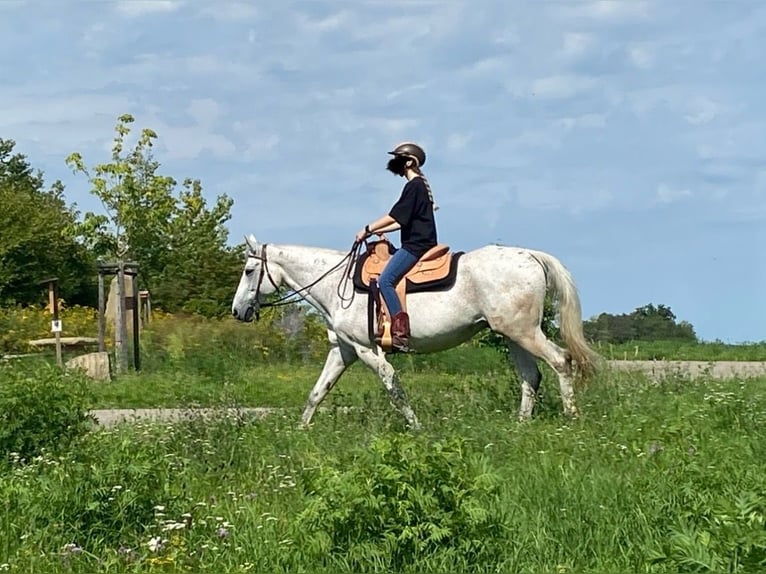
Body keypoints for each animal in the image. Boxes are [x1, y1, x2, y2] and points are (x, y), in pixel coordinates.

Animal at [231, 234, 604, 432]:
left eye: (249, 270)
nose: (237, 311)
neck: (338, 285)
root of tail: (530, 255)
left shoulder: (366, 350)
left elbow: (394, 388)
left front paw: (417, 428)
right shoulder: (344, 351)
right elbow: (317, 392)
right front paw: (300, 431)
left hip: (524, 332)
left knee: (562, 362)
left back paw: (571, 418)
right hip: (513, 336)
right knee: (530, 376)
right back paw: (520, 425)